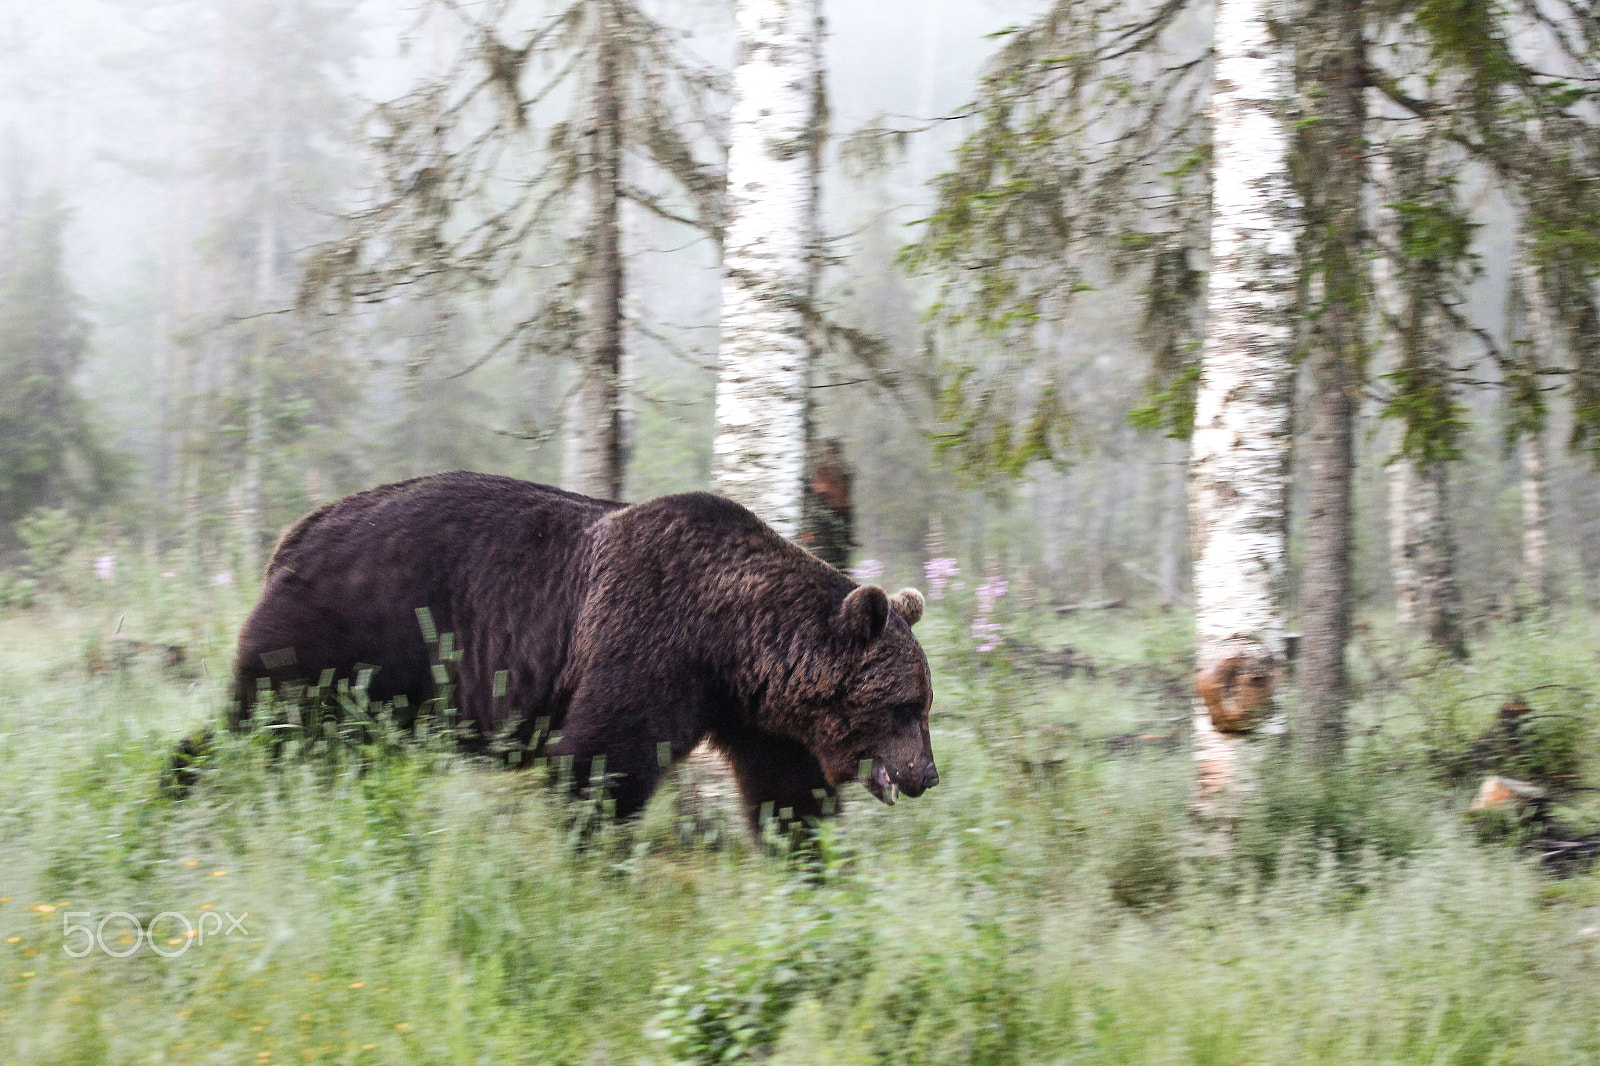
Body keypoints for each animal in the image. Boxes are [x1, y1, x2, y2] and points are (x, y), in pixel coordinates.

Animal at [229, 471, 938, 830]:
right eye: (904, 707)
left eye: (923, 704)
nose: (926, 775)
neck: (733, 643)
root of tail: (295, 533)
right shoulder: (651, 642)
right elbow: (603, 761)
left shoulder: (758, 715)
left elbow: (787, 788)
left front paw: (808, 863)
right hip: (354, 627)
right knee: (268, 722)